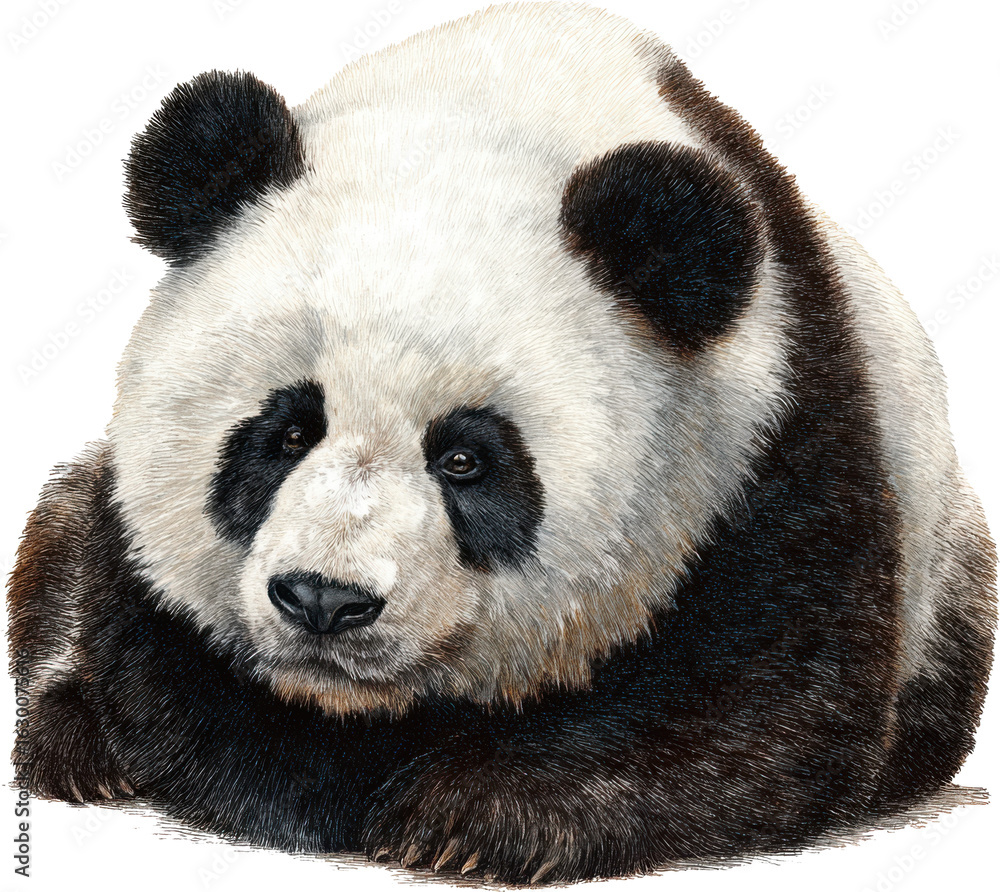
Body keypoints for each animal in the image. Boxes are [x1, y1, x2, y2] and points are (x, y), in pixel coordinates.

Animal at [7, 1, 996, 884]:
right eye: (287, 431)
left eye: (466, 460)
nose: (325, 600)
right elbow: (172, 671)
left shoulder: (777, 445)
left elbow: (759, 709)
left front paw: (473, 817)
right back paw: (69, 738)